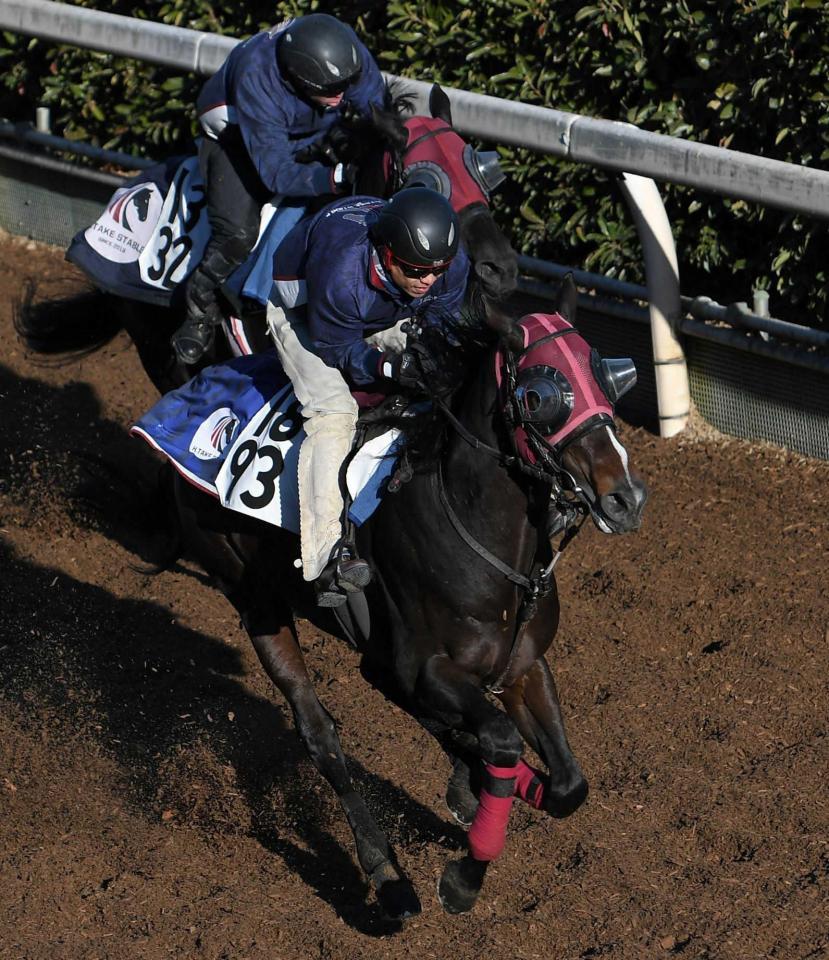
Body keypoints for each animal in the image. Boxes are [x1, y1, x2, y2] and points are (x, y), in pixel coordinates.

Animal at [157, 284, 648, 916]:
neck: (477, 529)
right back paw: (387, 875)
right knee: (321, 737)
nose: (625, 499)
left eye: (608, 377)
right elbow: (499, 741)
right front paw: (463, 877)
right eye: (539, 395)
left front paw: (494, 784)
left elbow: (566, 785)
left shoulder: (521, 666)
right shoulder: (424, 667)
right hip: (255, 599)